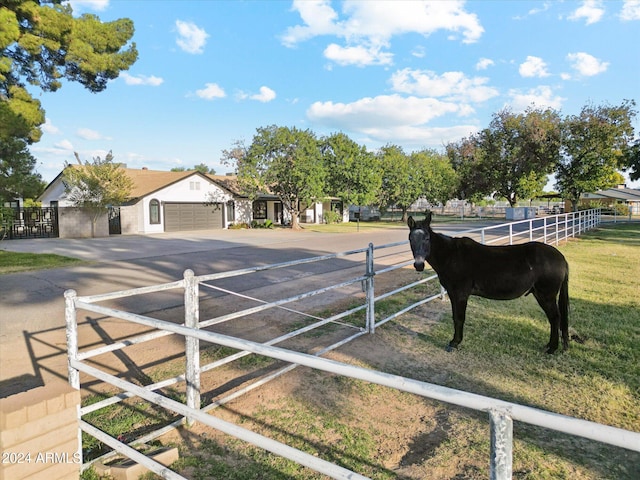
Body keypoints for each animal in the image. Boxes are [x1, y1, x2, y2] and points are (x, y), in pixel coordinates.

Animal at [408, 213, 568, 352]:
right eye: (410, 239)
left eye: (427, 238)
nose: (419, 265)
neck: (452, 256)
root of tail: (560, 258)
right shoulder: (453, 294)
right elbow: (455, 317)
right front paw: (455, 341)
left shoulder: (460, 295)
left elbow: (459, 318)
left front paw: (455, 343)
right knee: (554, 319)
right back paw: (550, 346)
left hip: (546, 296)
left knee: (555, 318)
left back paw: (552, 348)